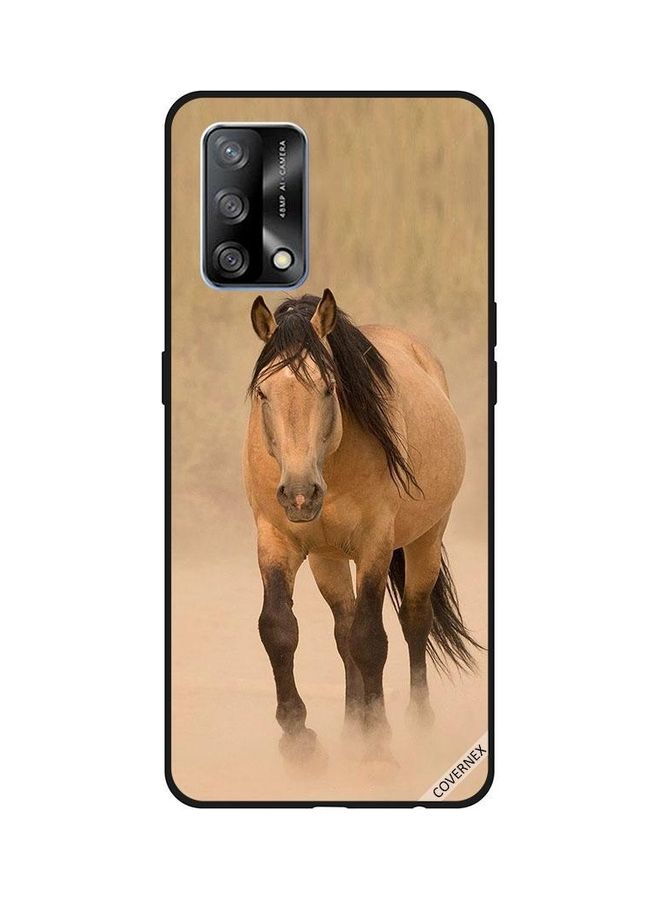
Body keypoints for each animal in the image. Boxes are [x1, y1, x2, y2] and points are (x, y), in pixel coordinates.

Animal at [243, 289, 479, 761]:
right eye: (263, 393)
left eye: (329, 387)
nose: (300, 494)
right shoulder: (276, 541)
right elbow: (279, 628)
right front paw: (298, 737)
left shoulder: (375, 546)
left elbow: (371, 639)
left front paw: (379, 738)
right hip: (327, 558)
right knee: (342, 629)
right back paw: (352, 724)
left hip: (426, 538)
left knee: (414, 621)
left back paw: (416, 723)